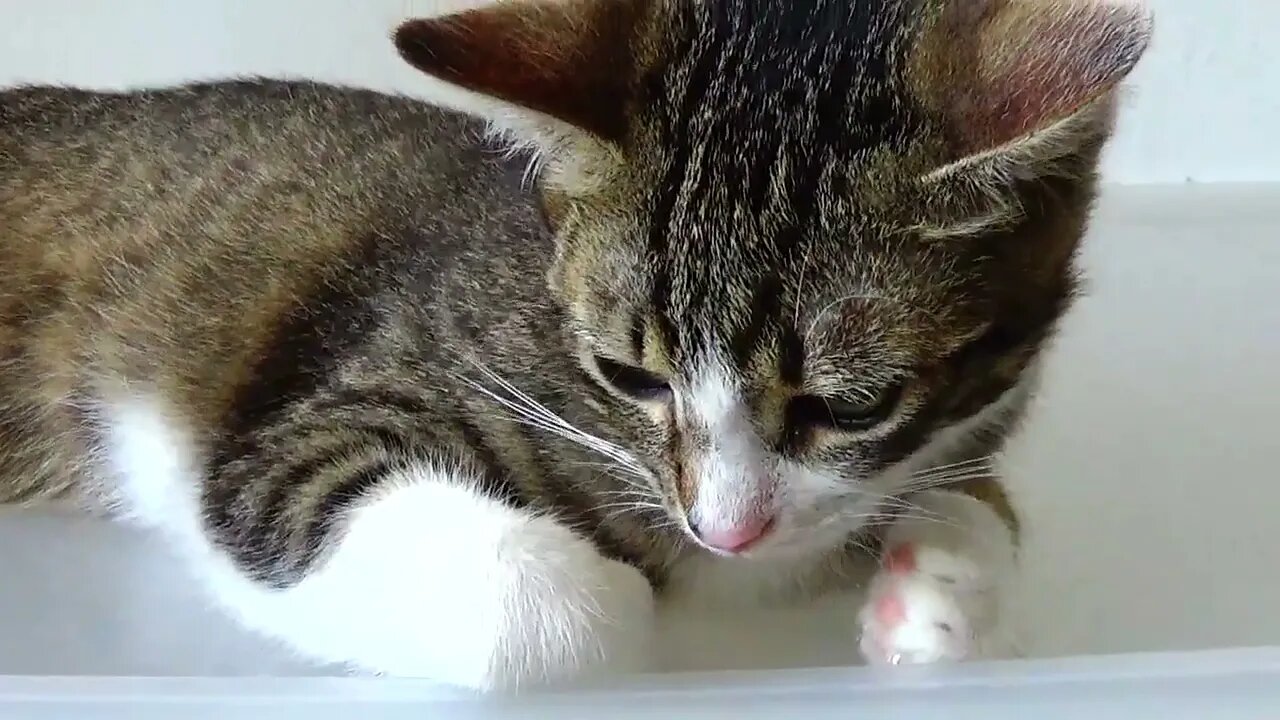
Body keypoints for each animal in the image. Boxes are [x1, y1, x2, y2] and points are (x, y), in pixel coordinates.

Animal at [0, 0, 1157, 686]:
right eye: (628, 376)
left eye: (855, 405)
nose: (724, 532)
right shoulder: (296, 434)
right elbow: (563, 616)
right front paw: (632, 607)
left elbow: (977, 498)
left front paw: (942, 584)